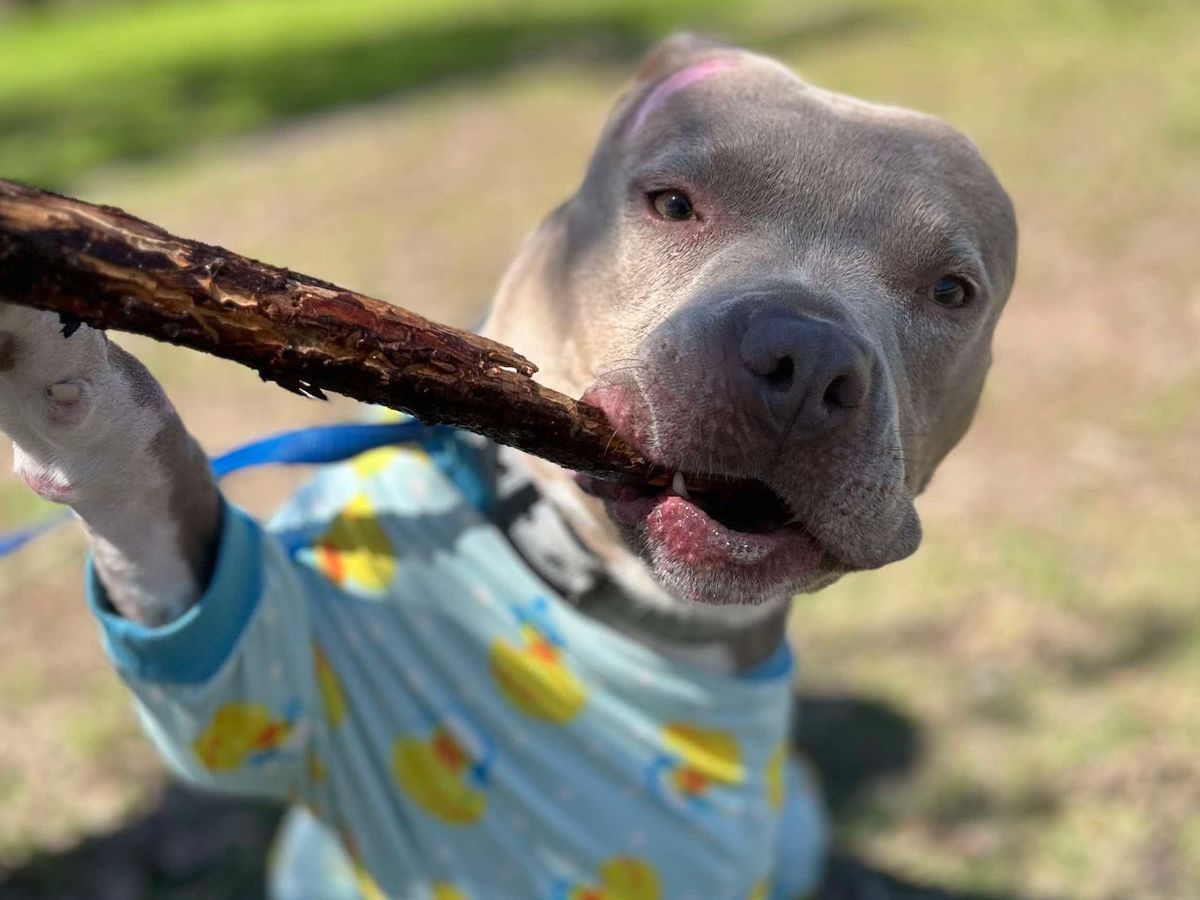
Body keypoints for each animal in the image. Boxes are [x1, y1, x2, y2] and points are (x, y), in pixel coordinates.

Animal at [0, 35, 1016, 899]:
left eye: (951, 291)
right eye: (671, 203)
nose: (805, 362)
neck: (618, 610)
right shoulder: (257, 678)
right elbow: (153, 494)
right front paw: (53, 354)